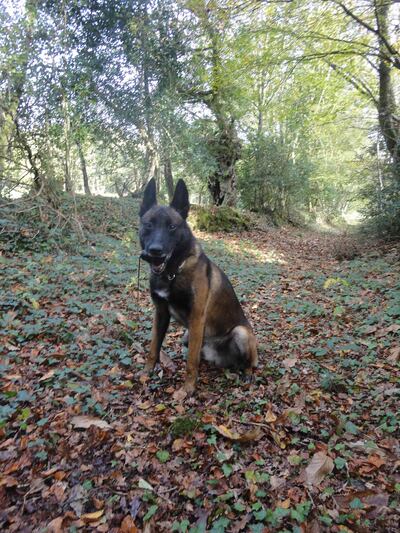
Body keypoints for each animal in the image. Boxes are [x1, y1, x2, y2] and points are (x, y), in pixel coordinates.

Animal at [139, 181, 258, 392]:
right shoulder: (161, 314)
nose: (155, 252)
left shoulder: (196, 318)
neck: (173, 272)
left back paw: (247, 374)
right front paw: (148, 371)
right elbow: (154, 348)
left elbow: (190, 362)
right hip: (187, 336)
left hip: (241, 333)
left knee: (249, 363)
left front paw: (187, 389)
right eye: (148, 225)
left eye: (172, 227)